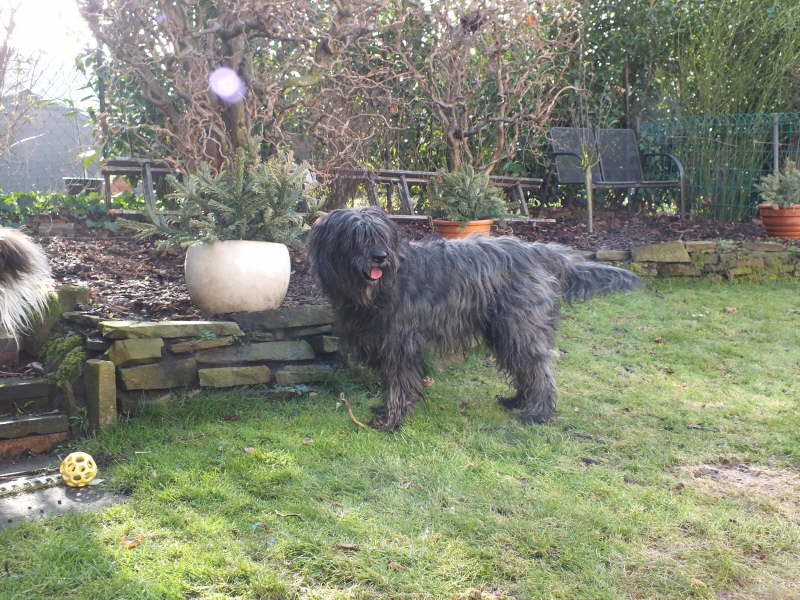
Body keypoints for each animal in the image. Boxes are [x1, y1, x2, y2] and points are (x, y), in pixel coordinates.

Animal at [310, 207, 640, 432]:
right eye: (356, 237)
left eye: (380, 236)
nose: (380, 256)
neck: (377, 289)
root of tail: (539, 251)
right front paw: (386, 410)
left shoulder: (400, 341)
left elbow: (399, 382)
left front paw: (391, 420)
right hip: (504, 329)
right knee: (523, 366)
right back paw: (518, 401)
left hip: (520, 325)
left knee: (538, 367)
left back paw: (537, 413)